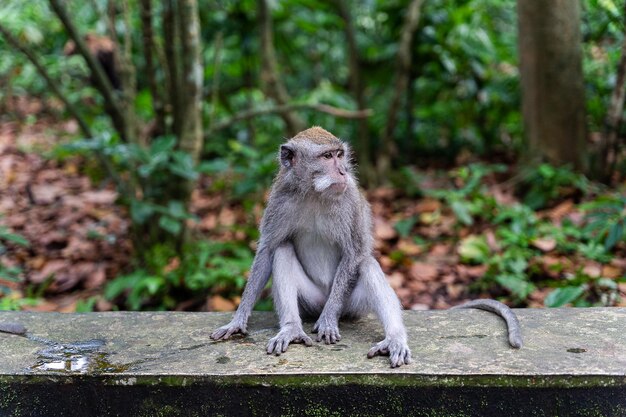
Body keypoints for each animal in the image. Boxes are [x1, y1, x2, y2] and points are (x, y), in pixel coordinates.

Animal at [210, 125, 520, 366]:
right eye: (327, 156)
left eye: (339, 155)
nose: (343, 172)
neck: (314, 193)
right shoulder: (279, 199)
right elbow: (267, 250)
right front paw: (238, 321)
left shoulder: (349, 200)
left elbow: (355, 252)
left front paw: (328, 321)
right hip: (310, 302)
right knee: (283, 251)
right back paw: (292, 329)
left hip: (352, 305)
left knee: (367, 265)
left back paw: (392, 338)